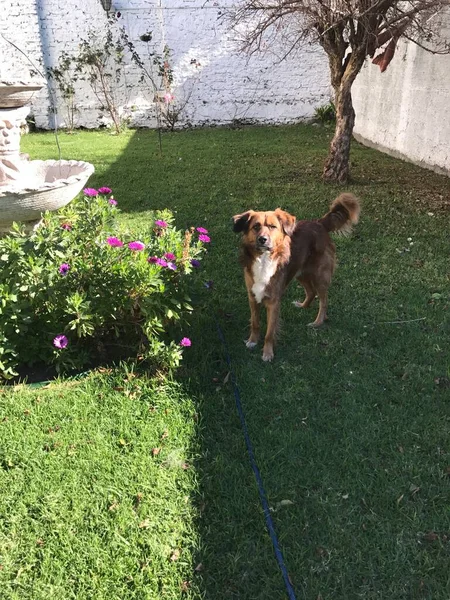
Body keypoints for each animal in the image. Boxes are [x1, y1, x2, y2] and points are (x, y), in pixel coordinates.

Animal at [234, 195, 360, 360]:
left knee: (323, 300)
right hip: (300, 271)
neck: (264, 259)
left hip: (320, 276)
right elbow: (255, 323)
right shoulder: (253, 296)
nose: (262, 239)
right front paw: (252, 341)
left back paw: (318, 322)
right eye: (256, 226)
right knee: (311, 292)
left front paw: (267, 353)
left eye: (273, 227)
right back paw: (303, 306)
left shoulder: (274, 302)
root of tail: (319, 223)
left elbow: (269, 333)